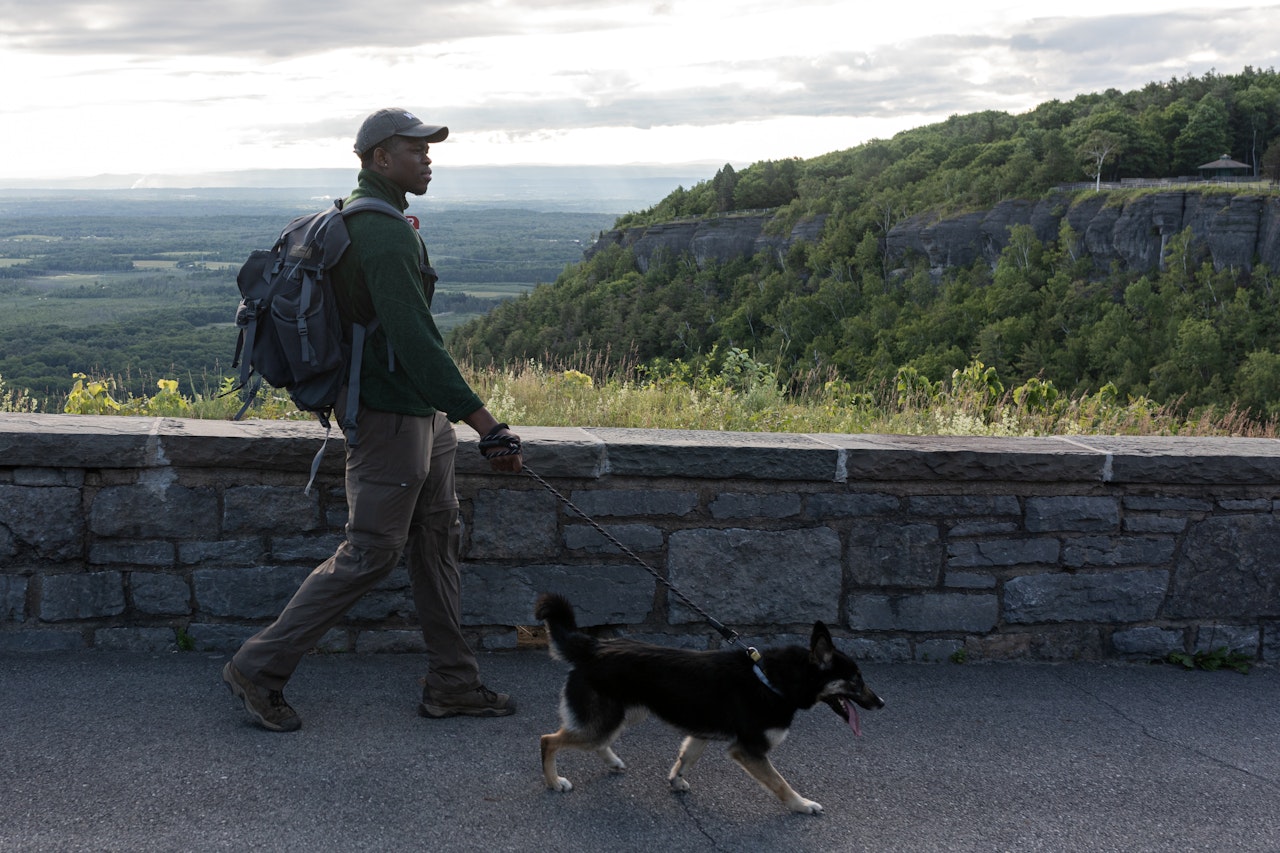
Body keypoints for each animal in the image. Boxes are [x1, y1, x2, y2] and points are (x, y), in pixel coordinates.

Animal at [535, 591, 885, 809]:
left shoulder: (700, 733)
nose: (882, 702)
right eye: (856, 679)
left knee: (592, 740)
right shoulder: (749, 750)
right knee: (548, 740)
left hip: (625, 714)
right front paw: (802, 805)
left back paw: (611, 761)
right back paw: (554, 782)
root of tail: (592, 647)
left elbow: (685, 758)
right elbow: (780, 783)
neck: (771, 679)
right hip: (607, 719)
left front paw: (676, 781)